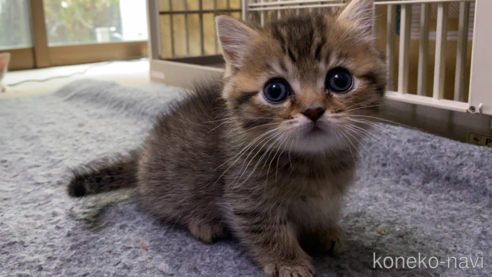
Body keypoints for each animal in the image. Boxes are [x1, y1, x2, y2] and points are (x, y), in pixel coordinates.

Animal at [68, 1, 384, 274]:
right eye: (275, 90)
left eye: (340, 80)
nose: (314, 110)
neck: (316, 163)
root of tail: (141, 158)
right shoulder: (246, 196)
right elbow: (267, 229)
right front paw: (288, 261)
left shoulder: (328, 196)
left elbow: (323, 212)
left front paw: (323, 231)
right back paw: (203, 223)